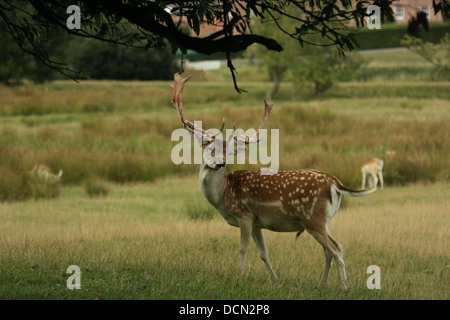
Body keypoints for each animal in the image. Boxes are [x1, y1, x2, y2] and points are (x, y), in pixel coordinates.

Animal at [171, 73, 376, 292]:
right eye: (210, 149)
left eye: (230, 152)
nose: (221, 162)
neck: (224, 195)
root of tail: (335, 183)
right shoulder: (257, 222)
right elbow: (263, 253)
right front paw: (275, 280)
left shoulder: (244, 213)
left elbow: (243, 248)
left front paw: (239, 278)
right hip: (324, 220)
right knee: (328, 250)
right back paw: (321, 285)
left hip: (313, 218)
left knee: (336, 248)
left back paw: (344, 287)